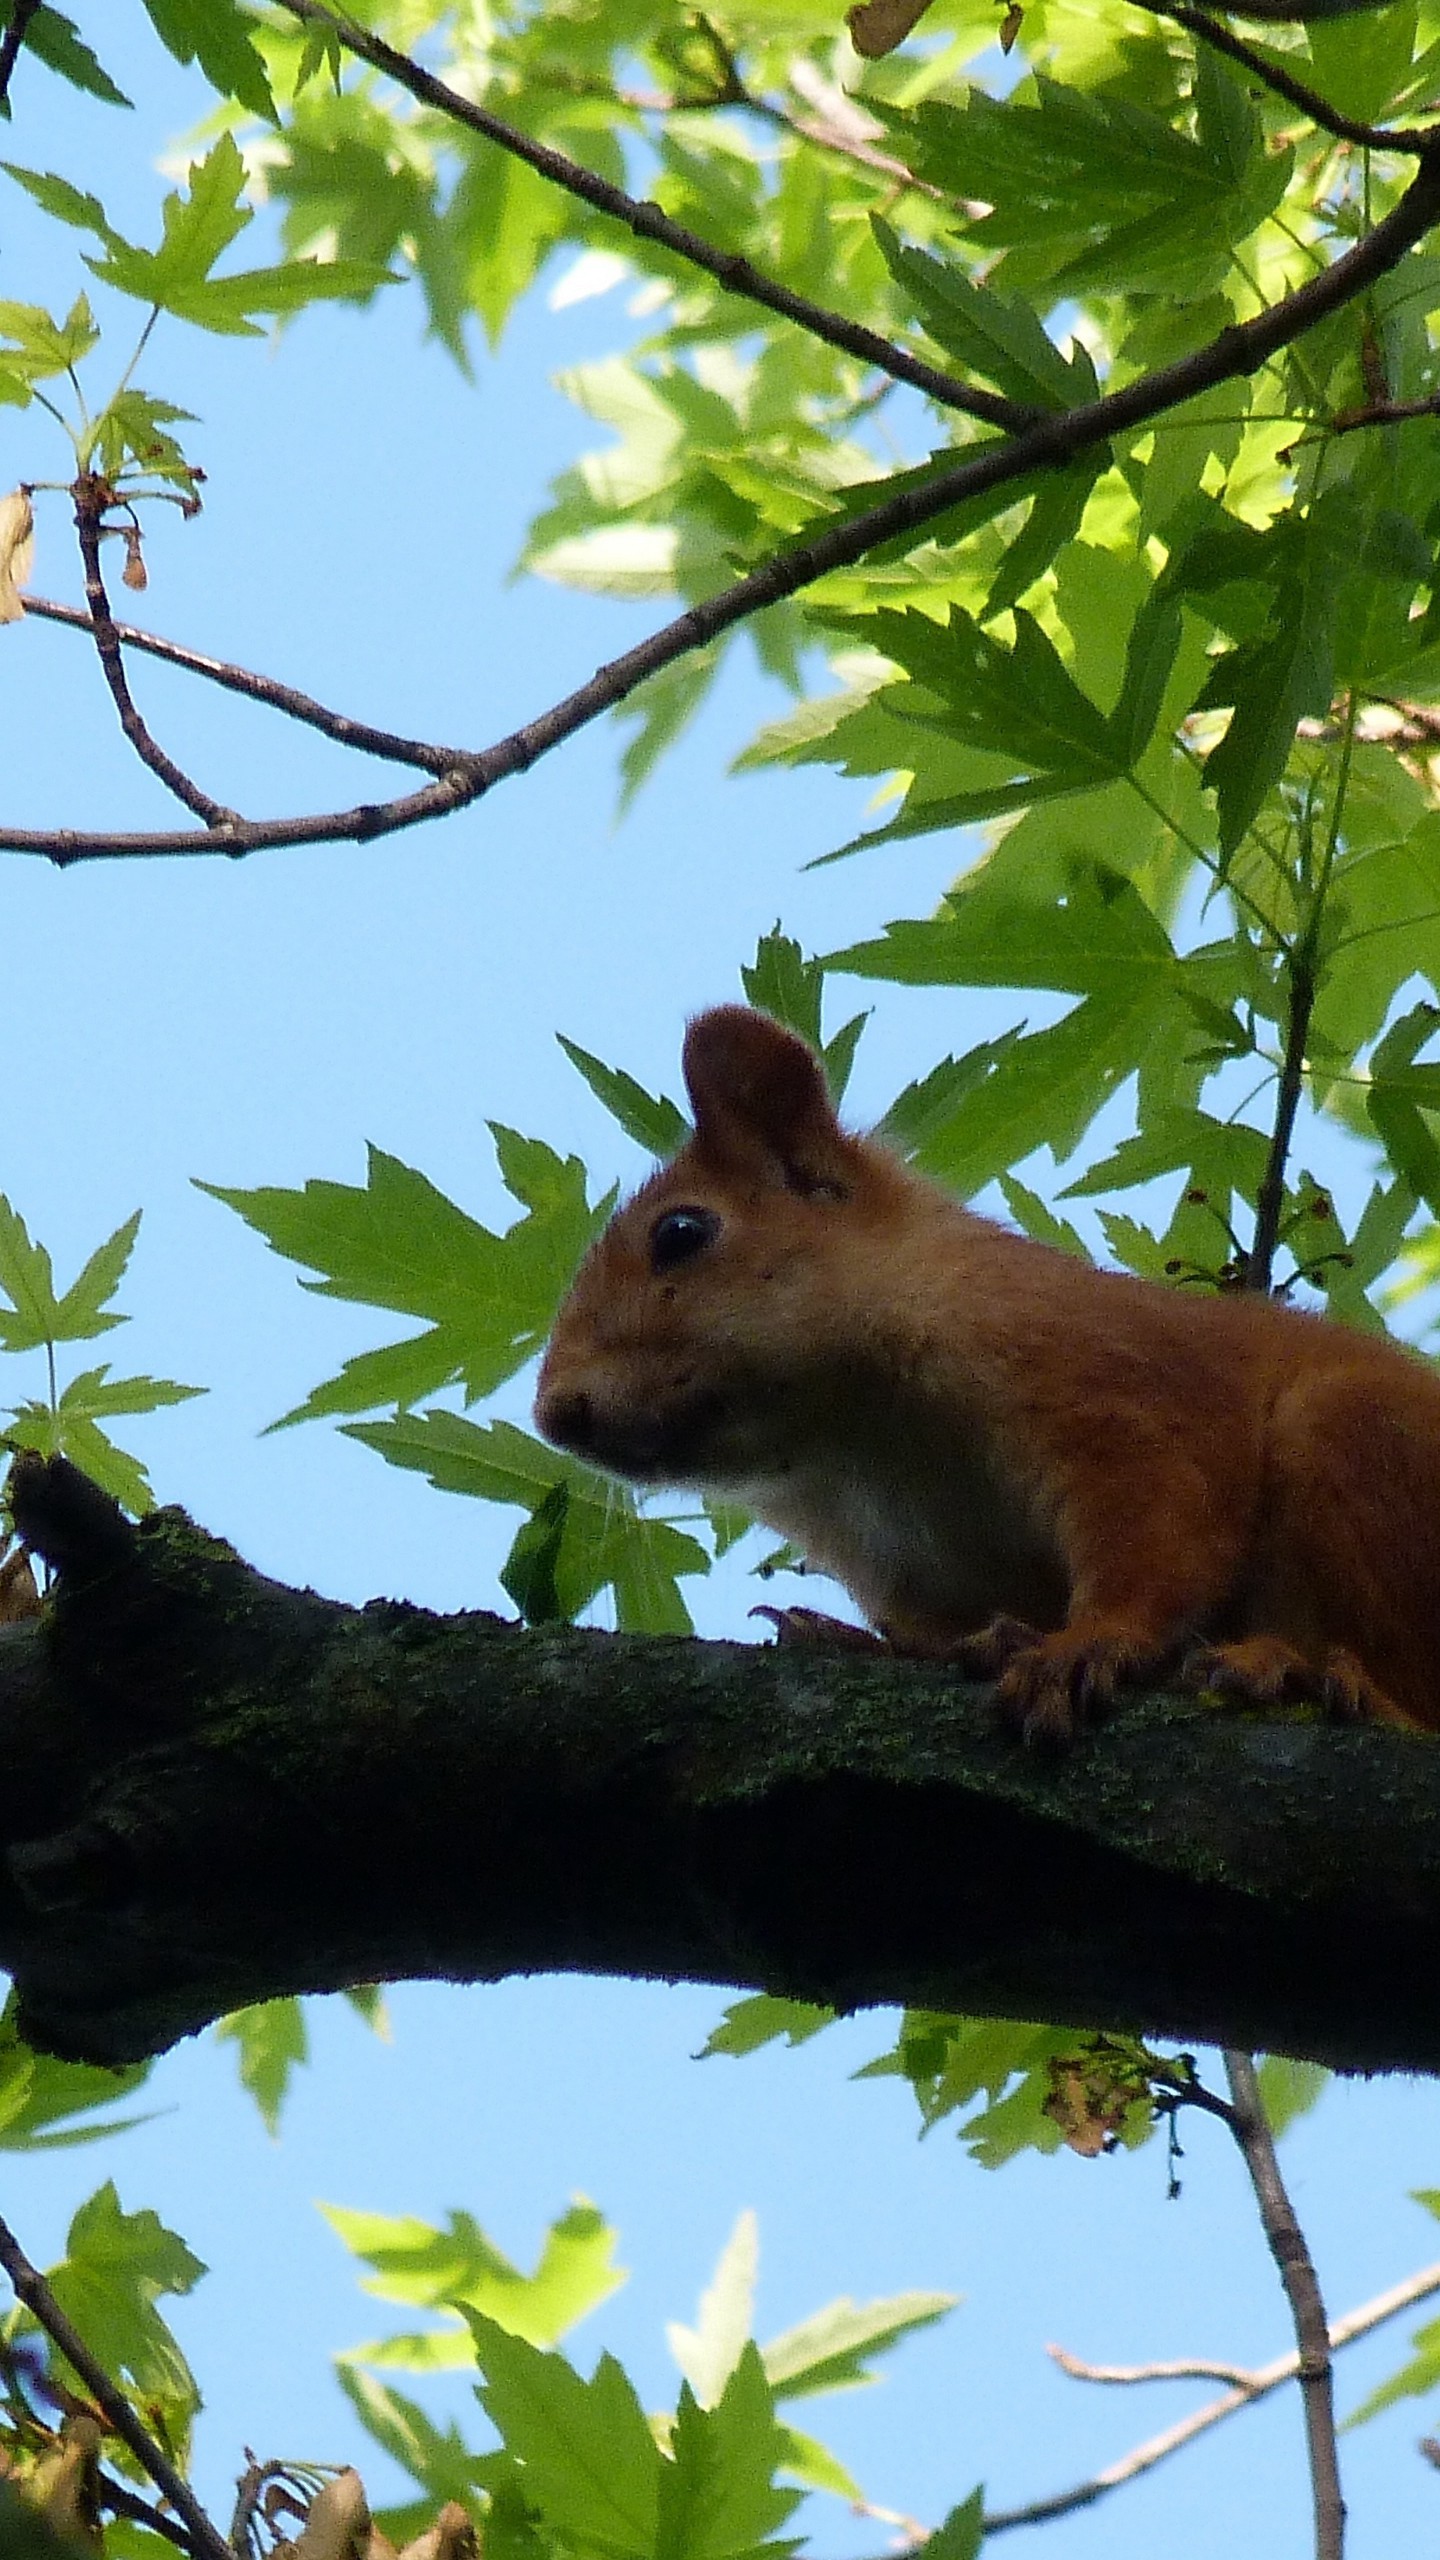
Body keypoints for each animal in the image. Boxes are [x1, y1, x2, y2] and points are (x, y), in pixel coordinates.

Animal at [530, 1008, 1440, 1751]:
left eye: (682, 1232)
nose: (555, 1413)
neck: (857, 1444)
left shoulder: (1120, 1387)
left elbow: (1165, 1531)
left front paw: (1087, 1644)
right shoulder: (906, 1568)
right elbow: (938, 1628)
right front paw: (859, 1638)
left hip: (1355, 1442)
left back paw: (1303, 1673)